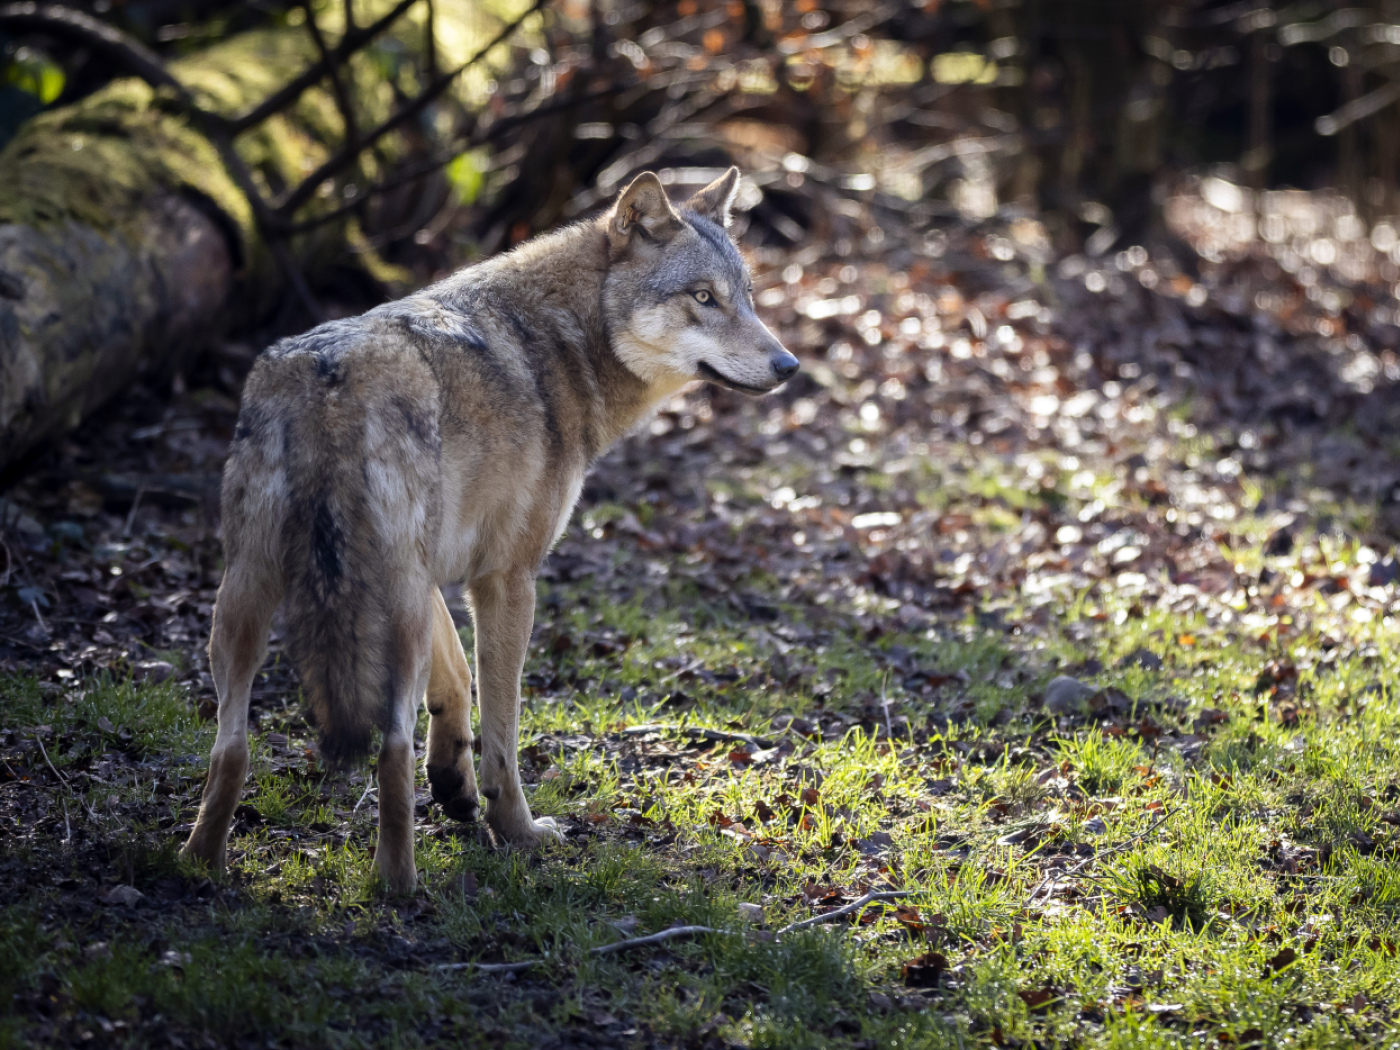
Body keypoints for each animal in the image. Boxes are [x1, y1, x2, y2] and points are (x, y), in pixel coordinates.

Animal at [180, 168, 798, 892]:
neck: (562, 341)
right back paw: (399, 886)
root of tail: (330, 378)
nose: (788, 366)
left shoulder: (437, 573)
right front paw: (519, 831)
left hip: (252, 595)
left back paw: (200, 863)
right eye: (704, 298)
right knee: (389, 747)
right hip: (374, 607)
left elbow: (457, 677)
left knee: (231, 747)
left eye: (747, 297)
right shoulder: (508, 579)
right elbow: (504, 729)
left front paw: (454, 781)